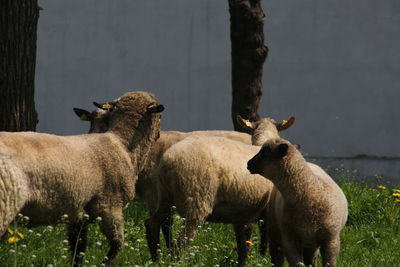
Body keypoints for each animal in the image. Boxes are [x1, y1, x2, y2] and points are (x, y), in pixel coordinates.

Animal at [0, 91, 164, 266]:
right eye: (160, 117)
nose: (159, 135)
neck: (123, 145)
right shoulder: (109, 206)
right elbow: (117, 244)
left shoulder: (78, 213)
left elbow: (78, 249)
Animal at [143, 116, 294, 266]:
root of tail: (168, 161)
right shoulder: (267, 212)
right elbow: (263, 240)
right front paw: (262, 257)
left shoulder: (241, 214)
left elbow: (243, 246)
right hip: (196, 201)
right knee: (180, 243)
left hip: (164, 196)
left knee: (152, 224)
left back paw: (155, 260)